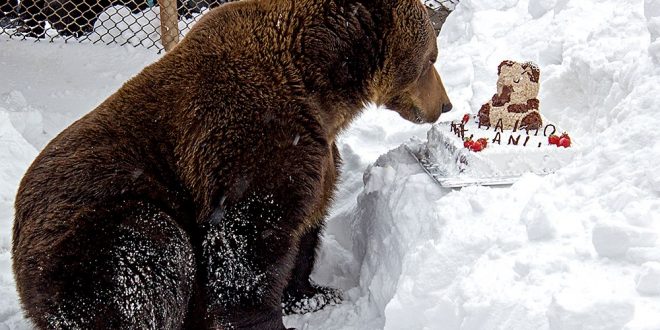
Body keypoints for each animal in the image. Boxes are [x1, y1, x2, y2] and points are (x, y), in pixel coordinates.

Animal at [11, 0, 454, 328]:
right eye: (431, 58)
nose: (445, 104)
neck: (320, 90)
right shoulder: (248, 137)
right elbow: (246, 248)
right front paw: (264, 318)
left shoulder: (316, 150)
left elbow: (306, 223)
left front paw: (311, 294)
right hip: (87, 236)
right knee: (148, 259)